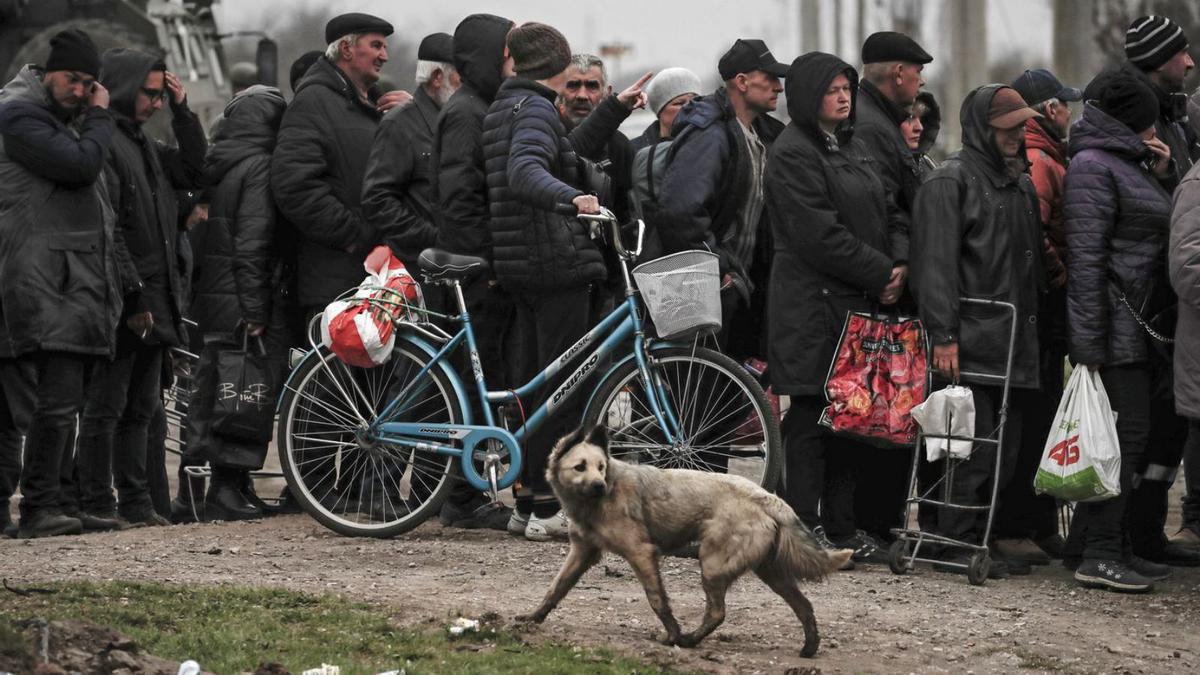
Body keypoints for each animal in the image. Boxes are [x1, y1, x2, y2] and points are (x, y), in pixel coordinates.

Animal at [516, 422, 854, 653]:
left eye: (601, 467)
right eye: (580, 467)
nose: (600, 485)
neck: (597, 501)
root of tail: (767, 497)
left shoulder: (641, 553)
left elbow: (658, 600)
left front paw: (674, 634)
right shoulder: (582, 552)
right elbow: (555, 589)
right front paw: (533, 617)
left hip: (713, 564)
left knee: (717, 612)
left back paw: (689, 640)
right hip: (770, 572)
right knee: (804, 605)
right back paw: (809, 648)